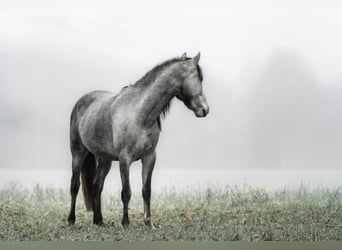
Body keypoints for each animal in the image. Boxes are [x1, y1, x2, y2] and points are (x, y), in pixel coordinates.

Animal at [68, 51, 210, 228]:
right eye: (200, 78)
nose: (205, 110)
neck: (140, 114)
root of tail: (81, 102)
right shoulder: (125, 159)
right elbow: (126, 192)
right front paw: (126, 223)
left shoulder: (149, 157)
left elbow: (146, 191)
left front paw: (149, 223)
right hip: (78, 154)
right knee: (75, 186)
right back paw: (71, 220)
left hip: (105, 159)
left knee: (97, 186)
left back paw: (99, 220)